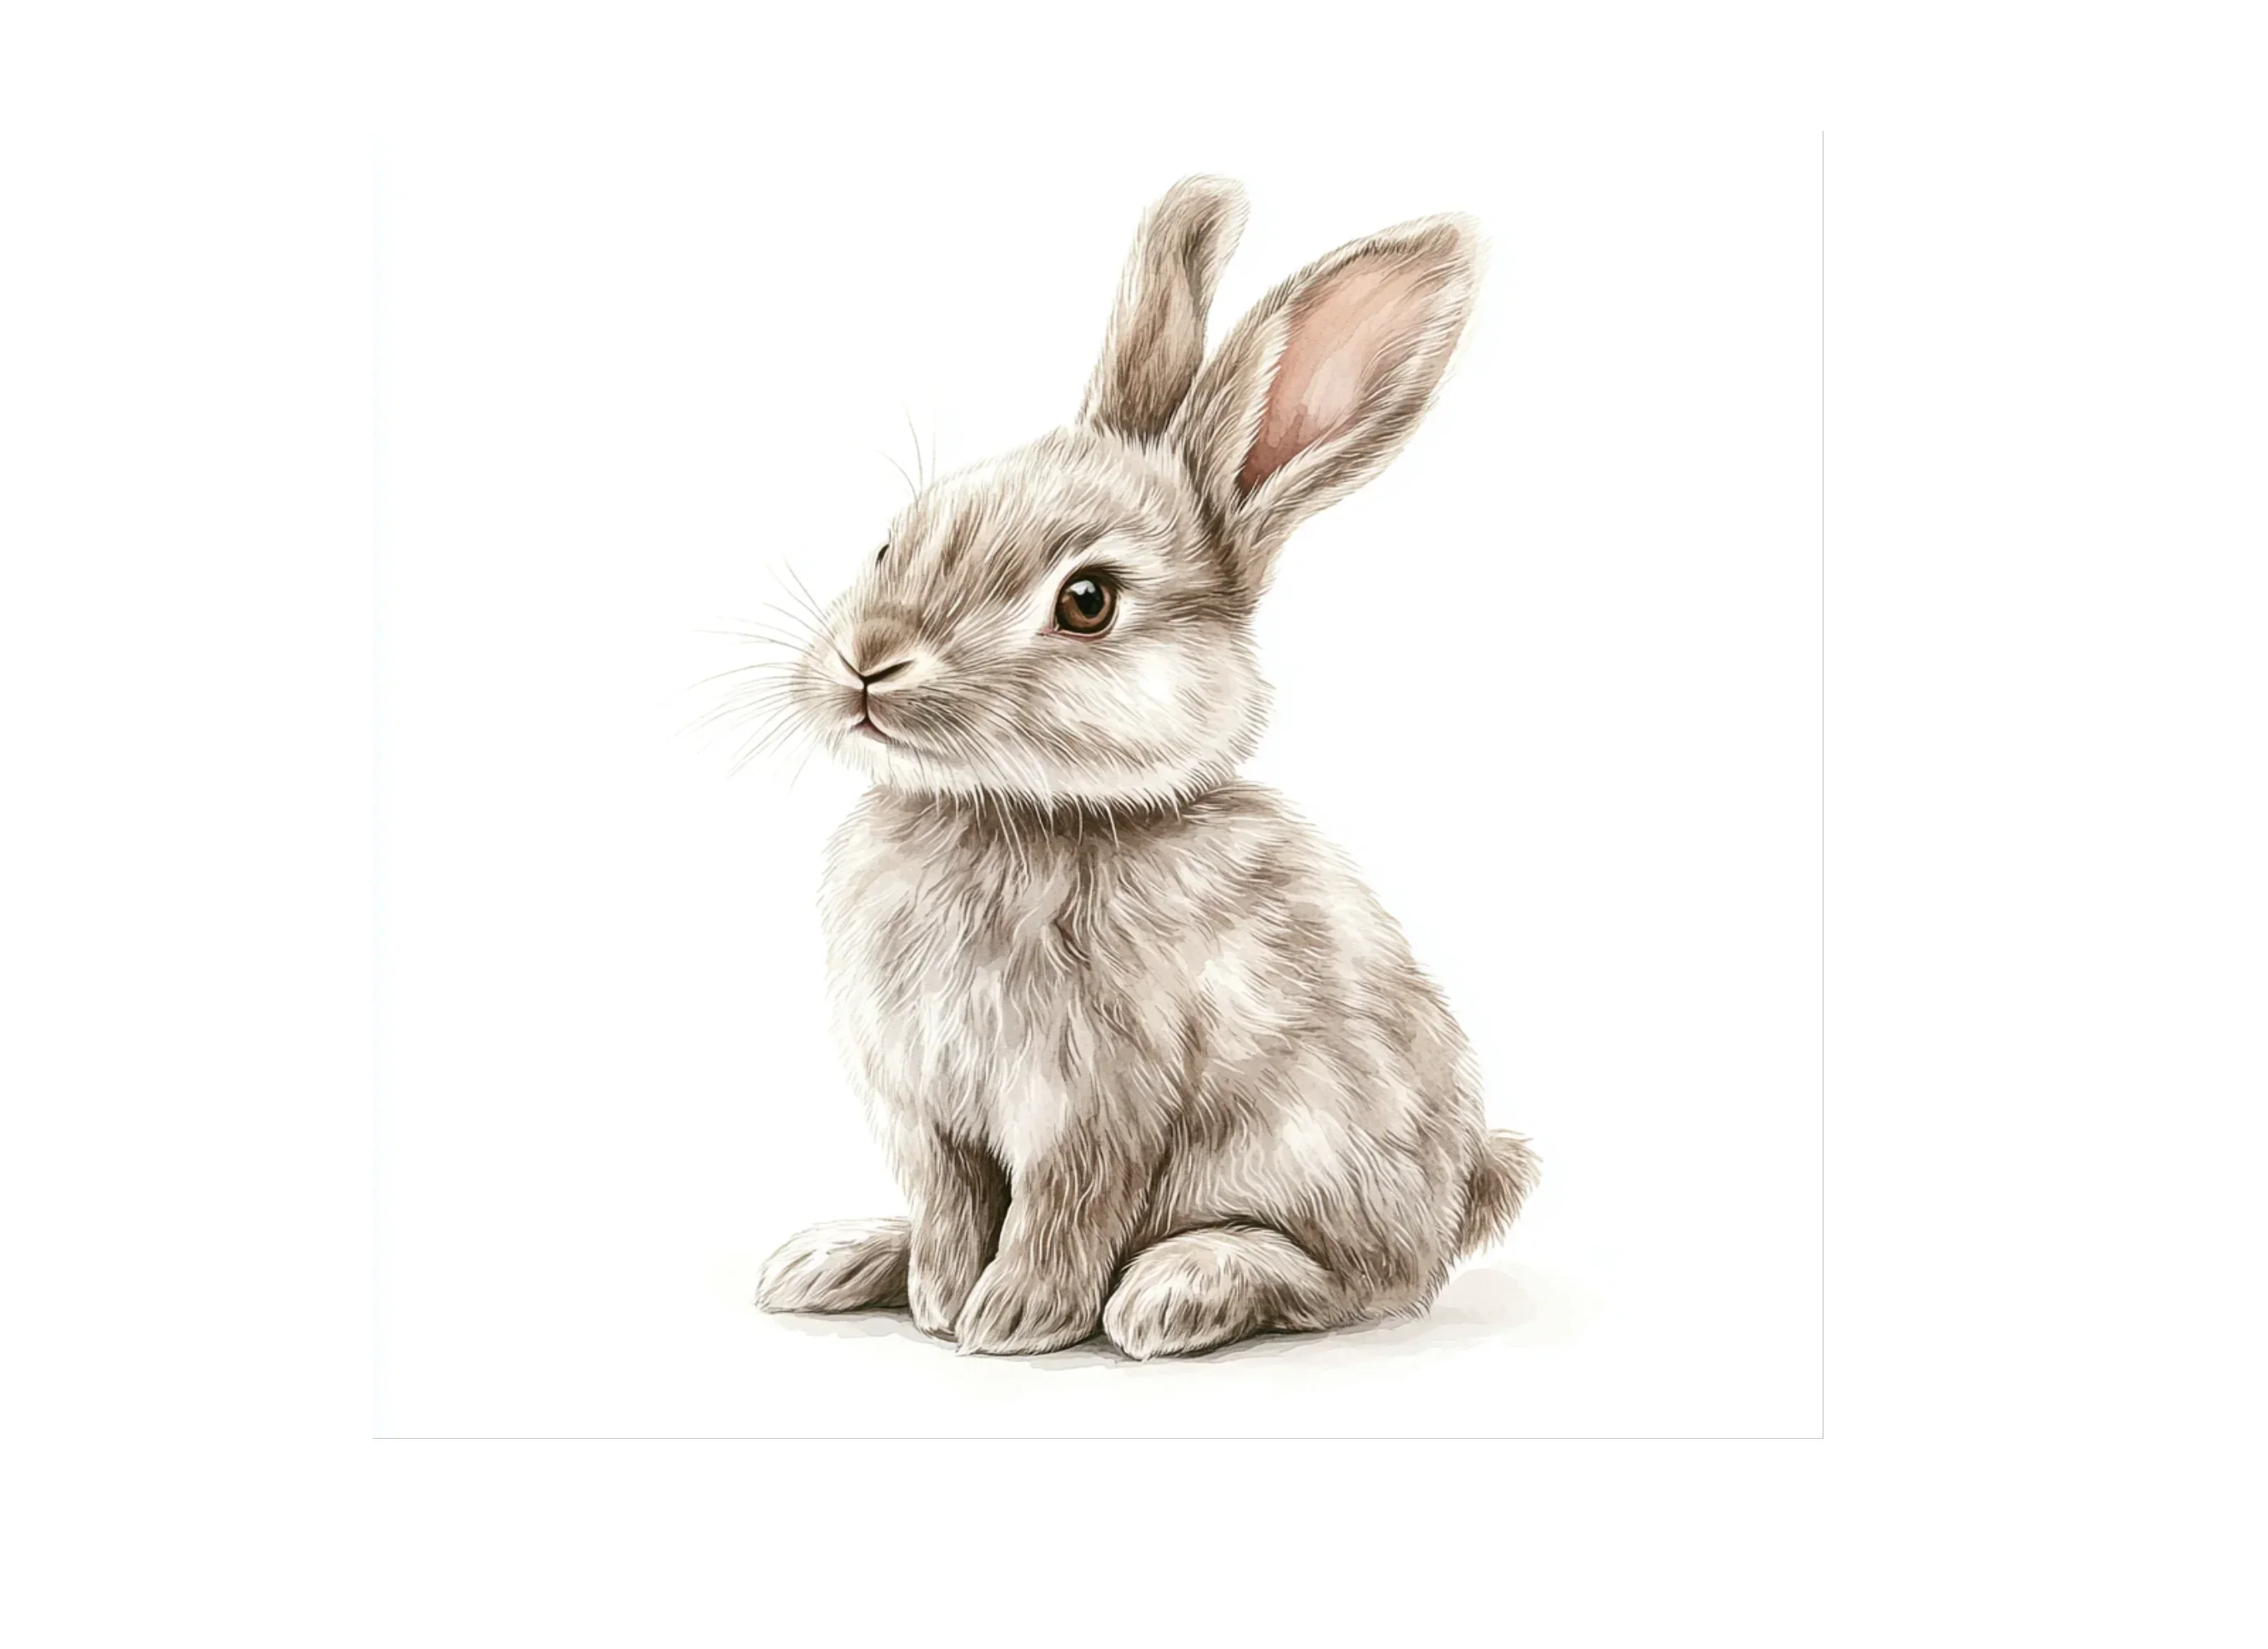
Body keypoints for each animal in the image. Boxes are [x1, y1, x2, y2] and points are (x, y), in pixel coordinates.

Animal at [753, 176, 1536, 1359]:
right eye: (893, 540)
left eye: (1087, 601)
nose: (867, 664)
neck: (1016, 812)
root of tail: (1470, 1185)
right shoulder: (926, 1114)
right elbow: (947, 1203)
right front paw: (937, 1297)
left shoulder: (1096, 1104)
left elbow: (1061, 1209)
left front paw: (1011, 1320)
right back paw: (830, 1259)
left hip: (1318, 1164)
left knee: (1347, 1280)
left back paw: (1178, 1289)